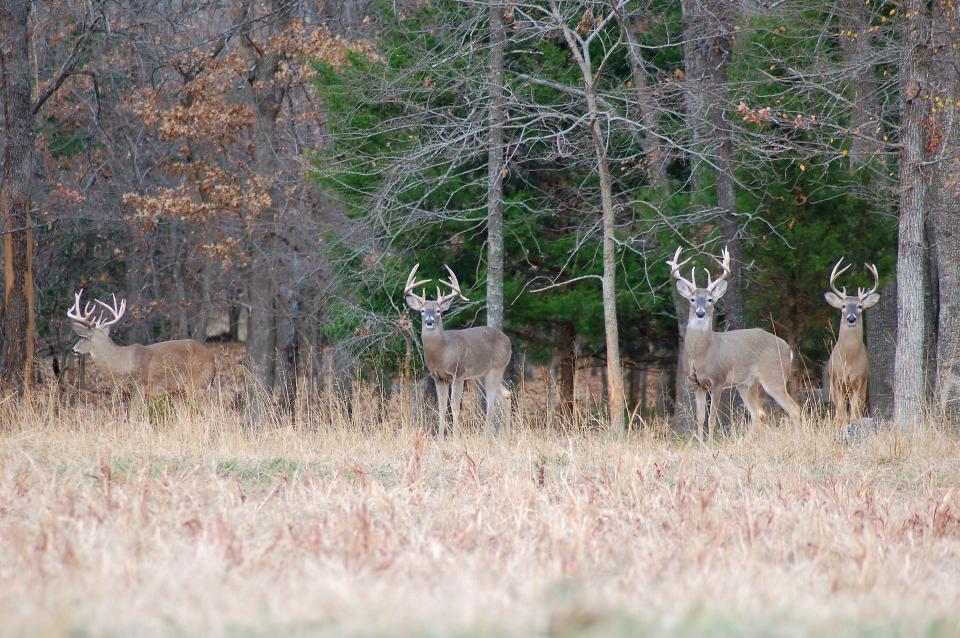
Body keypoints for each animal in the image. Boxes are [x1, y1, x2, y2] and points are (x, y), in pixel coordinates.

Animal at [68, 292, 216, 412]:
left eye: (83, 337)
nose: (73, 349)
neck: (122, 362)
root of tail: (212, 357)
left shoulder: (140, 386)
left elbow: (134, 415)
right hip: (177, 392)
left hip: (198, 383)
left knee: (212, 411)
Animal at [404, 266, 512, 440]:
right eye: (422, 310)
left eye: (438, 311)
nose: (429, 321)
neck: (442, 352)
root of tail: (508, 340)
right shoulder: (438, 377)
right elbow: (441, 408)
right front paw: (440, 439)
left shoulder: (458, 373)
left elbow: (455, 407)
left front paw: (455, 439)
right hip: (482, 374)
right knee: (506, 394)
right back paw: (507, 436)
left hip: (496, 367)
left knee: (491, 402)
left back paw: (485, 437)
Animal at [668, 248, 804, 442]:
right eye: (692, 299)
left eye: (710, 299)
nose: (700, 313)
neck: (701, 354)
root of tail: (787, 348)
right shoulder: (696, 384)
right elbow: (700, 418)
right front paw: (700, 445)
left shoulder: (717, 380)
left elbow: (712, 419)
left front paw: (710, 445)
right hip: (746, 384)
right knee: (759, 414)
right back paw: (746, 442)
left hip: (774, 376)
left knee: (794, 408)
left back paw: (798, 439)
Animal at [824, 258, 876, 422]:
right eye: (843, 306)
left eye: (859, 306)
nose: (851, 318)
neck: (849, 359)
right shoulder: (837, 380)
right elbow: (840, 415)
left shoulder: (859, 380)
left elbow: (853, 414)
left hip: (864, 387)